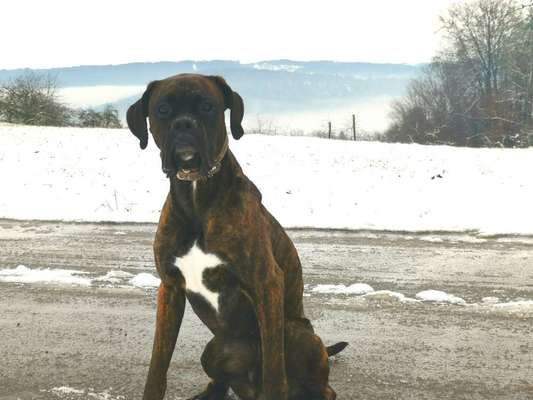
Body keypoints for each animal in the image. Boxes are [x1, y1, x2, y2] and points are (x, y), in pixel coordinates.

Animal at [127, 72, 348, 400]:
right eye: (163, 109)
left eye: (207, 106)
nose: (184, 125)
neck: (197, 192)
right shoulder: (170, 289)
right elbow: (158, 365)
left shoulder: (266, 283)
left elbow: (275, 370)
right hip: (214, 349)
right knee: (222, 383)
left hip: (297, 333)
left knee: (319, 387)